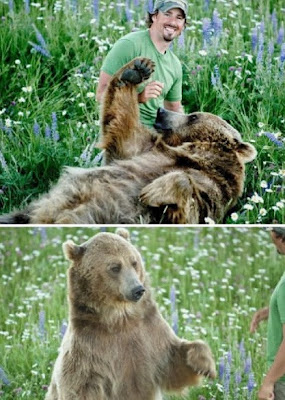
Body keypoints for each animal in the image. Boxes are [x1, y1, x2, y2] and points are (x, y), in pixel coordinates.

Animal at [0, 57, 256, 225]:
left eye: (193, 117)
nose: (161, 112)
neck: (194, 155)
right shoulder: (144, 150)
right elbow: (123, 124)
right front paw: (135, 70)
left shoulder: (211, 191)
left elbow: (187, 207)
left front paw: (151, 190)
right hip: (28, 211)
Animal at [44, 228, 215, 400]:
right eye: (115, 267)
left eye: (134, 262)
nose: (138, 289)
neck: (120, 318)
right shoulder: (88, 349)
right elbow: (79, 387)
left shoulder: (150, 333)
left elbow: (174, 365)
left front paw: (205, 365)